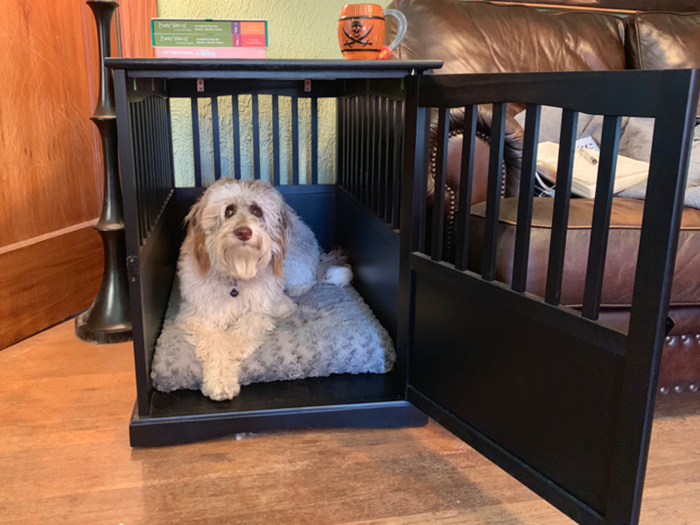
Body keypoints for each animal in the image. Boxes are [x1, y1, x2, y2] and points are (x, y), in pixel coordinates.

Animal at [178, 178, 352, 400]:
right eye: (229, 210)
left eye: (256, 210)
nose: (244, 232)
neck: (237, 275)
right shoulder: (201, 317)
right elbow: (215, 345)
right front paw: (220, 382)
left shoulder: (273, 307)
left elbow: (250, 321)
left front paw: (233, 346)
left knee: (307, 279)